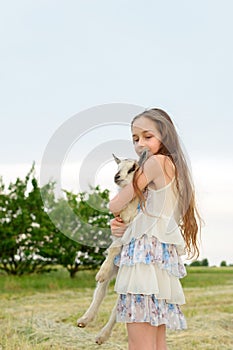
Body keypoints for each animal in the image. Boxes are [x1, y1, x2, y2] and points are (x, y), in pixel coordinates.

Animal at [77, 150, 147, 344]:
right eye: (118, 166)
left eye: (133, 168)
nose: (116, 177)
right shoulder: (119, 228)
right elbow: (112, 249)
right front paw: (101, 273)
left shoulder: (130, 230)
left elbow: (116, 247)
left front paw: (100, 273)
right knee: (101, 292)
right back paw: (85, 320)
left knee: (118, 307)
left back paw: (102, 335)